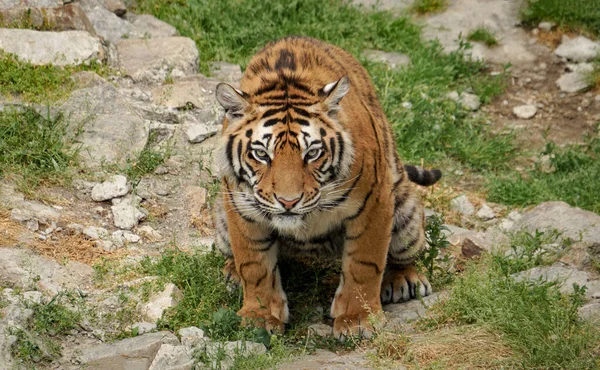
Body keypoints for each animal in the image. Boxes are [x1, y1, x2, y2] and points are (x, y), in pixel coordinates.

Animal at [212, 36, 440, 340]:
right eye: (261, 154)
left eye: (312, 153)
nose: (288, 202)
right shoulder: (240, 208)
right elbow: (254, 266)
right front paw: (259, 317)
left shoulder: (374, 202)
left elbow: (364, 263)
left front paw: (357, 319)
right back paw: (233, 275)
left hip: (406, 216)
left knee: (407, 255)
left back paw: (403, 280)